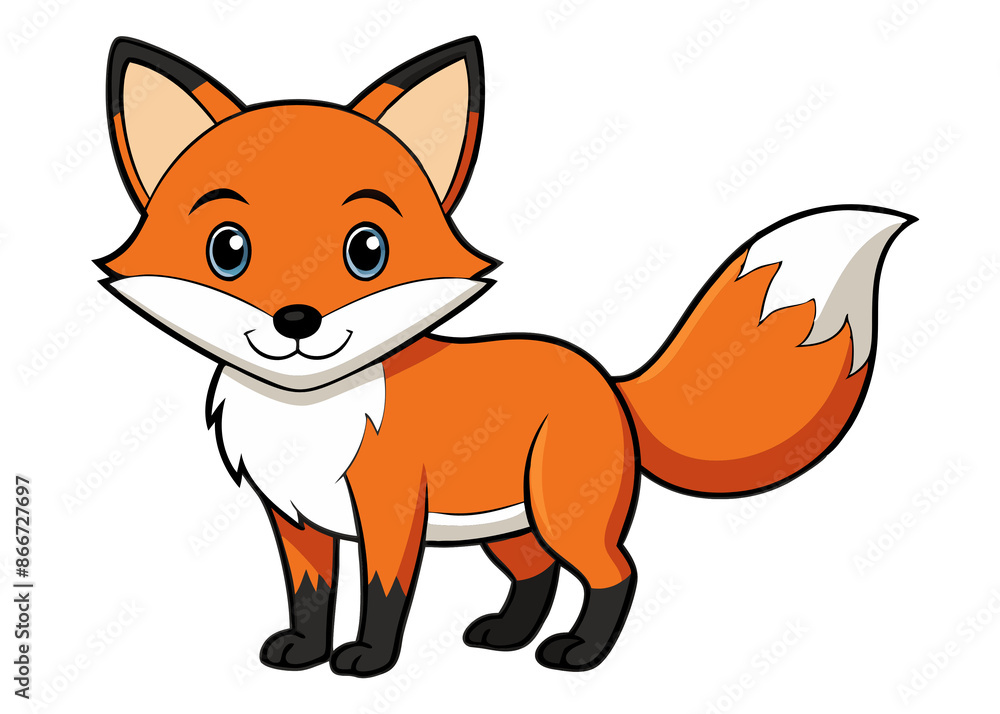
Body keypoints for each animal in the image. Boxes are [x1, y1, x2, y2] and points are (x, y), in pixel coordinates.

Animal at [97, 36, 915, 676]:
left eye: (367, 251)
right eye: (227, 250)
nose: (297, 319)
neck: (308, 410)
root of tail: (607, 379)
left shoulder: (391, 508)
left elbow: (383, 596)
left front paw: (367, 661)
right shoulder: (294, 520)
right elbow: (310, 596)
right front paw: (302, 652)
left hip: (563, 513)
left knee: (615, 572)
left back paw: (579, 654)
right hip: (511, 527)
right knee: (539, 575)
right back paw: (506, 637)